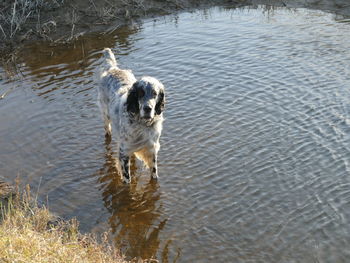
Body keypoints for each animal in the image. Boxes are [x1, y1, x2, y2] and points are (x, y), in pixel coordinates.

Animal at [97, 48, 165, 184]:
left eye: (155, 94)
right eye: (140, 93)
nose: (147, 108)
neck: (142, 124)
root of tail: (112, 68)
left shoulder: (151, 148)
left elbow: (154, 172)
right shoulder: (124, 151)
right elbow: (127, 179)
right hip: (105, 116)